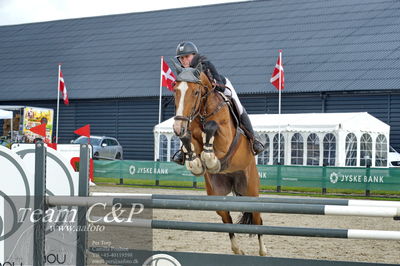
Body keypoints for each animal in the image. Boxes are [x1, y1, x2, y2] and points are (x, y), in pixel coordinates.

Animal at [171, 61, 268, 256]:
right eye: (175, 91)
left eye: (195, 92)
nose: (177, 127)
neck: (202, 111)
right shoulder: (191, 133)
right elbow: (189, 140)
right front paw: (197, 163)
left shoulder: (226, 139)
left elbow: (212, 126)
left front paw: (210, 160)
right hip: (217, 195)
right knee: (227, 218)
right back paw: (238, 250)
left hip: (251, 190)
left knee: (257, 219)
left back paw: (263, 252)